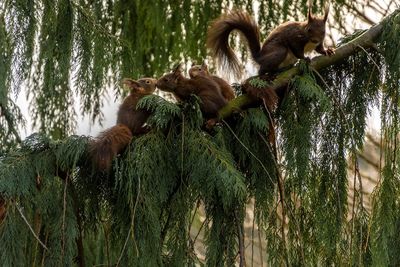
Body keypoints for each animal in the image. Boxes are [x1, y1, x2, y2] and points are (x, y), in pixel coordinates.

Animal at [206, 0, 334, 77]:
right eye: (309, 30)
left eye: (323, 32)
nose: (315, 40)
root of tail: (259, 57)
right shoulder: (294, 38)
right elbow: (297, 50)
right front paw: (305, 58)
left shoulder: (318, 43)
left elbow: (319, 49)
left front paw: (328, 51)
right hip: (279, 51)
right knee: (263, 70)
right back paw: (271, 73)